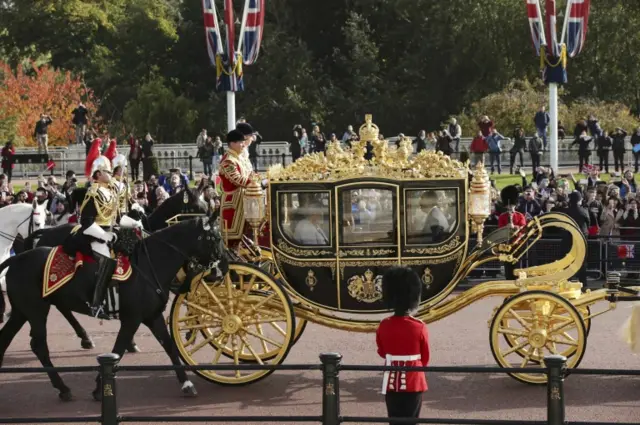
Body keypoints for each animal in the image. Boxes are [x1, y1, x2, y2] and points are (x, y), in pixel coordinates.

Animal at [0, 215, 228, 400]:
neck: (148, 264)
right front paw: (100, 388)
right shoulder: (132, 319)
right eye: (216, 238)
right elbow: (118, 349)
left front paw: (186, 383)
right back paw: (63, 387)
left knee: (6, 339)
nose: (224, 268)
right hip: (36, 311)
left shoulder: (152, 316)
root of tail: (17, 257)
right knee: (39, 345)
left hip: (22, 312)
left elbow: (170, 346)